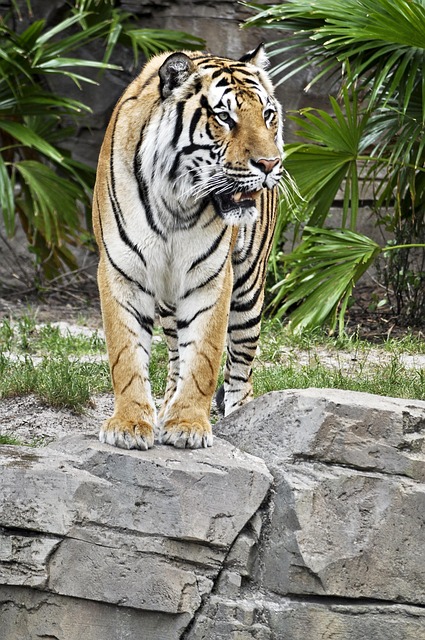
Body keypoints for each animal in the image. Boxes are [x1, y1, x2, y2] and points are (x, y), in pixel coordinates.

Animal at [92, 44, 283, 450]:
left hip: (248, 288)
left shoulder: (211, 277)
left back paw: (238, 415)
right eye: (225, 117)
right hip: (167, 298)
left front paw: (188, 425)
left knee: (241, 361)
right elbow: (126, 355)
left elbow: (205, 357)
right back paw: (164, 406)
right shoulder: (121, 271)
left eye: (267, 115)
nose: (270, 164)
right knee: (175, 353)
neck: (174, 203)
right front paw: (130, 424)